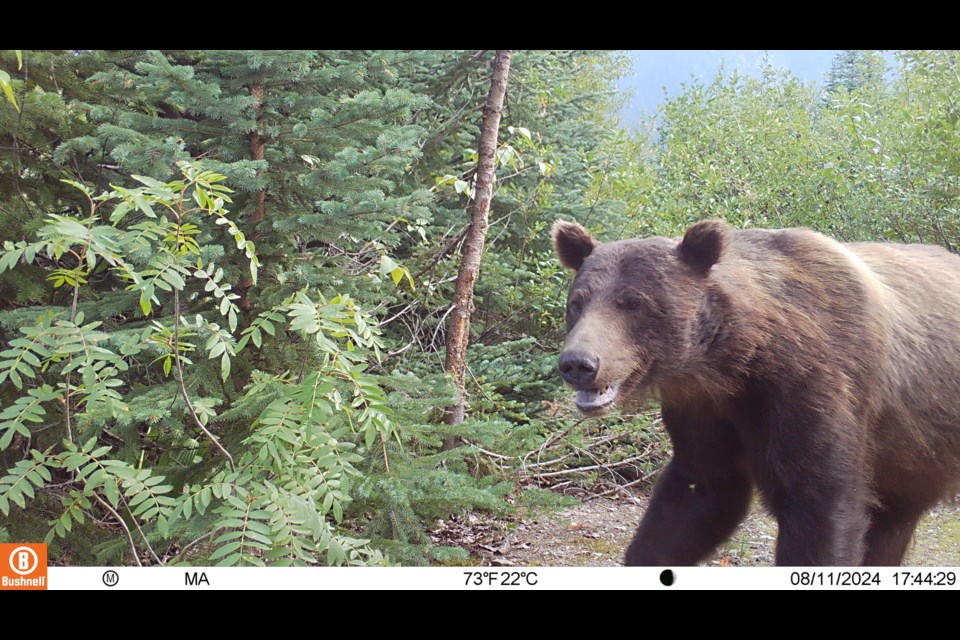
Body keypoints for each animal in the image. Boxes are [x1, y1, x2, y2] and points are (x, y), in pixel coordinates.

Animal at [552, 219, 960, 564]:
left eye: (633, 302)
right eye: (577, 302)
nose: (578, 363)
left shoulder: (813, 387)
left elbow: (819, 502)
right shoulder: (702, 409)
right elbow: (700, 491)